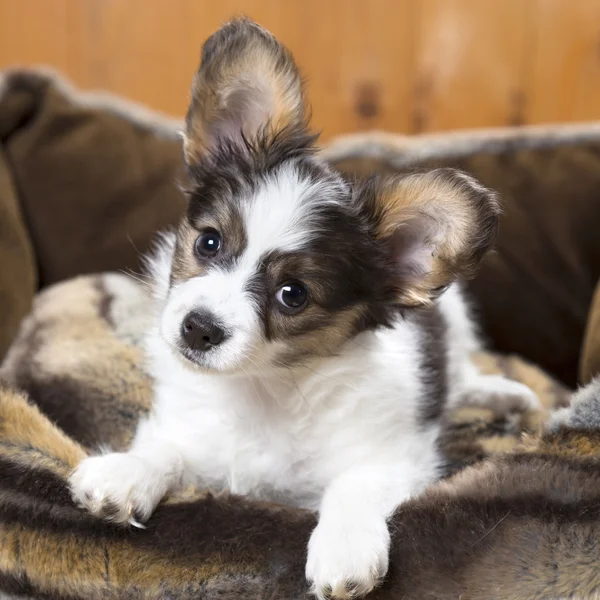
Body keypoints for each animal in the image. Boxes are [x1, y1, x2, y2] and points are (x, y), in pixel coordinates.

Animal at [71, 18, 540, 600]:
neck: (264, 391)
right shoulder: (193, 429)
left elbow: (353, 485)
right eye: (208, 242)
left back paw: (504, 395)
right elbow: (170, 447)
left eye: (292, 294)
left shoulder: (396, 456)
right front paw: (127, 472)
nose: (198, 328)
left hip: (454, 321)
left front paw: (344, 548)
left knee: (462, 376)